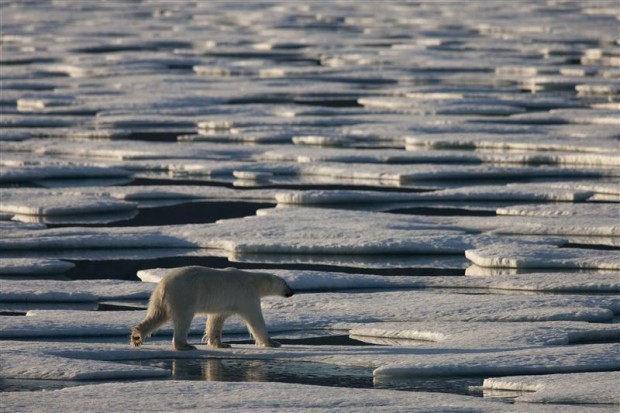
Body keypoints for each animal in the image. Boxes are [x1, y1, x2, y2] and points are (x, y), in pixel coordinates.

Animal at [130, 266, 294, 350]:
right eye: (286, 283)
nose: (292, 292)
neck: (253, 281)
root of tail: (163, 285)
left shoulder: (224, 305)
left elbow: (216, 319)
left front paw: (222, 344)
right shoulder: (246, 296)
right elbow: (255, 319)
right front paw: (273, 342)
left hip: (160, 298)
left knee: (157, 315)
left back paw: (137, 336)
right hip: (184, 295)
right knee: (183, 319)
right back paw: (185, 345)